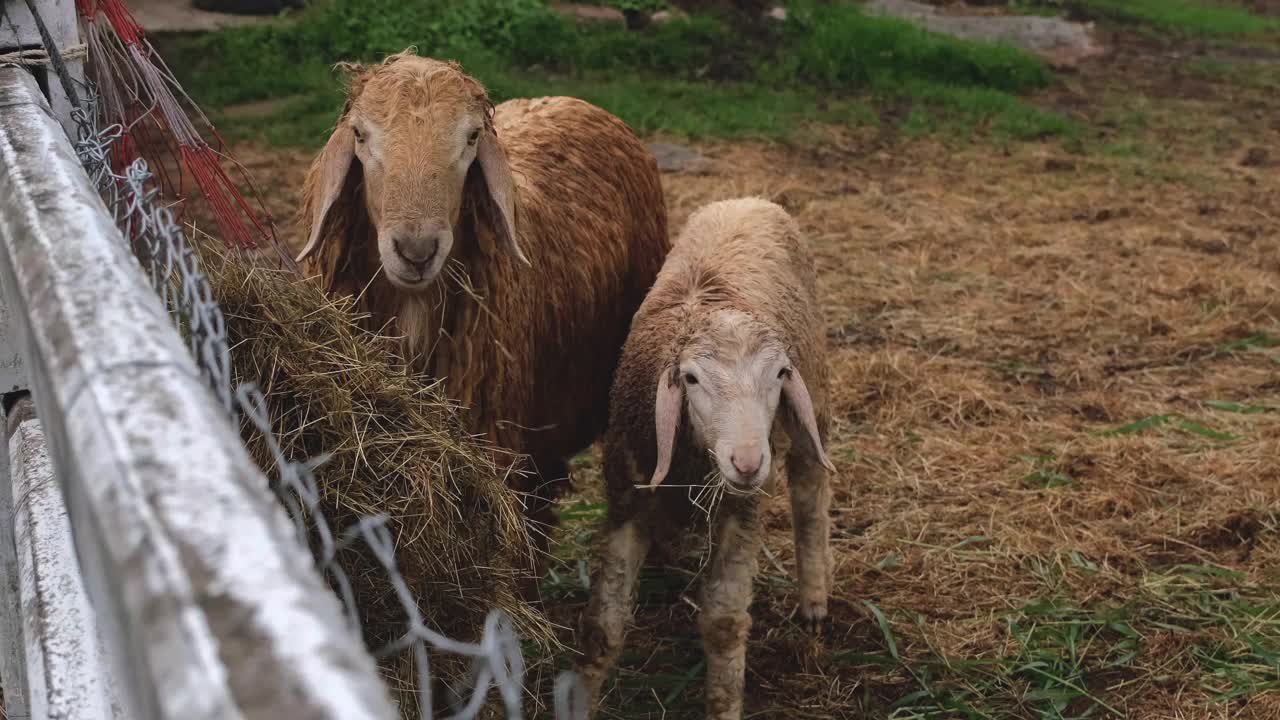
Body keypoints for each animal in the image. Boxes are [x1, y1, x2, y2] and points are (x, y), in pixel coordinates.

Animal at [576, 197, 834, 717]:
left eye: (780, 373)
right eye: (691, 379)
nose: (749, 463)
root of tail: (747, 199)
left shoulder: (744, 509)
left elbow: (724, 623)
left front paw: (724, 703)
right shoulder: (628, 497)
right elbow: (602, 628)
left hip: (812, 401)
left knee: (810, 493)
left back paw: (814, 598)